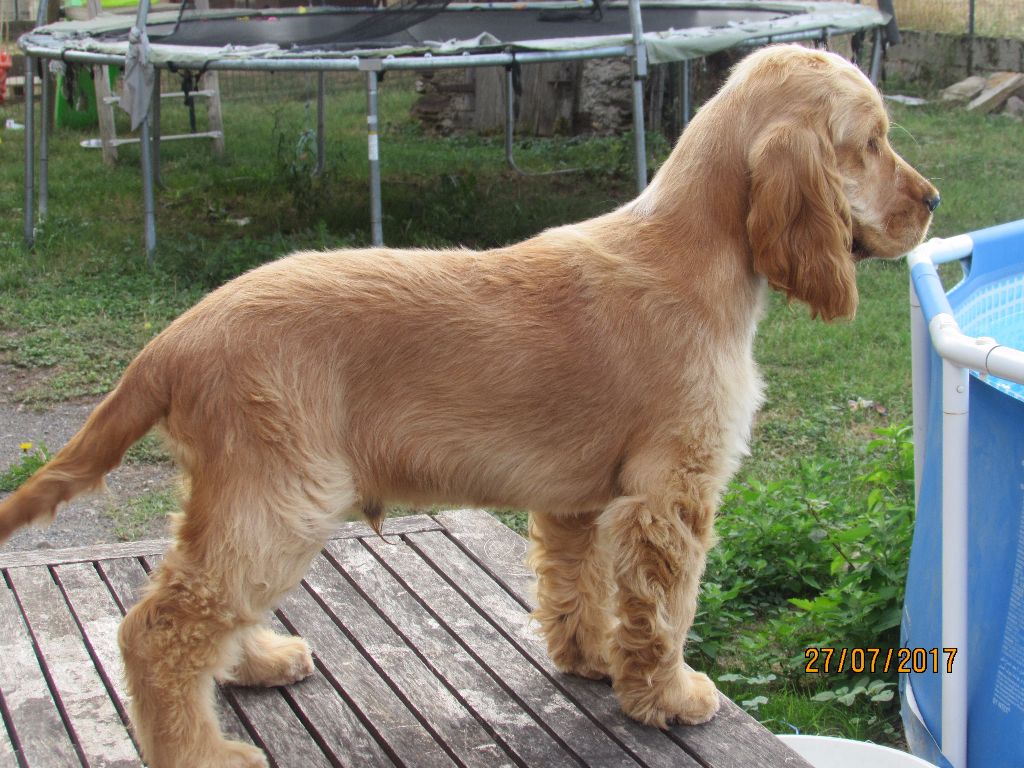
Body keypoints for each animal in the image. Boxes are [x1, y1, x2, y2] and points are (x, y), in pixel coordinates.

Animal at [0, 45, 938, 767]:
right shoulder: (672, 491)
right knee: (157, 628)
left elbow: (578, 584)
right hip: (279, 495)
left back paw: (260, 660)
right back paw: (200, 751)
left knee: (192, 600)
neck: (693, 247)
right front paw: (669, 695)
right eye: (872, 143)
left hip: (235, 490)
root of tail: (174, 338)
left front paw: (590, 659)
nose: (931, 201)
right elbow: (667, 610)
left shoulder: (583, 499)